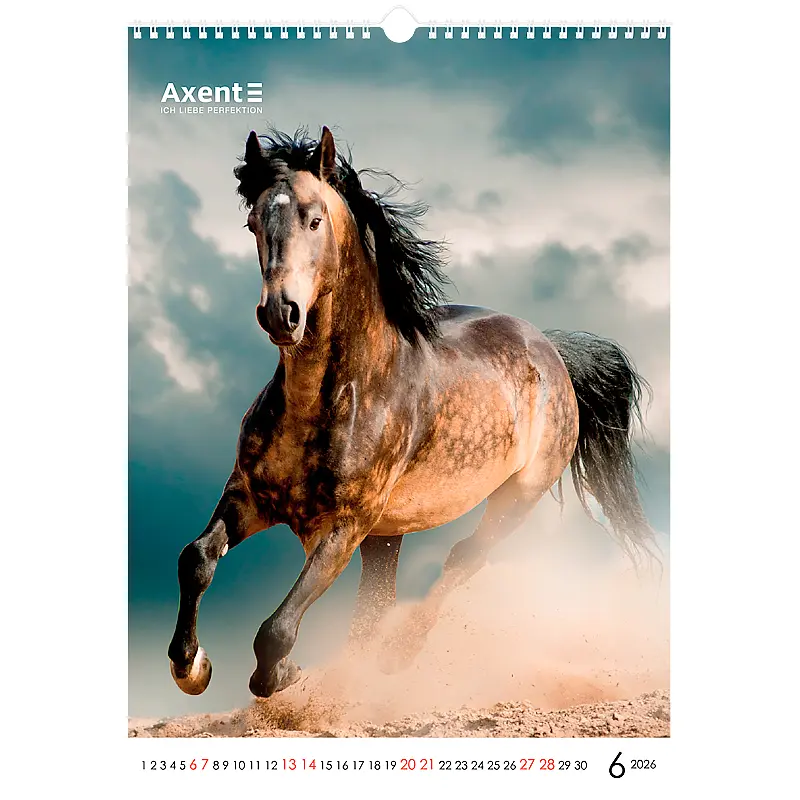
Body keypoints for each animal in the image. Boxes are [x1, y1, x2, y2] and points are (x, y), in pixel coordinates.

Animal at [167, 126, 657, 699]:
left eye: (314, 219)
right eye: (253, 223)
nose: (280, 314)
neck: (330, 399)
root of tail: (552, 351)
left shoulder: (345, 526)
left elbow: (276, 630)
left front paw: (282, 674)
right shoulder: (249, 496)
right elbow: (196, 559)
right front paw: (191, 667)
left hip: (516, 497)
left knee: (462, 558)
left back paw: (397, 656)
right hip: (389, 532)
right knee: (375, 604)